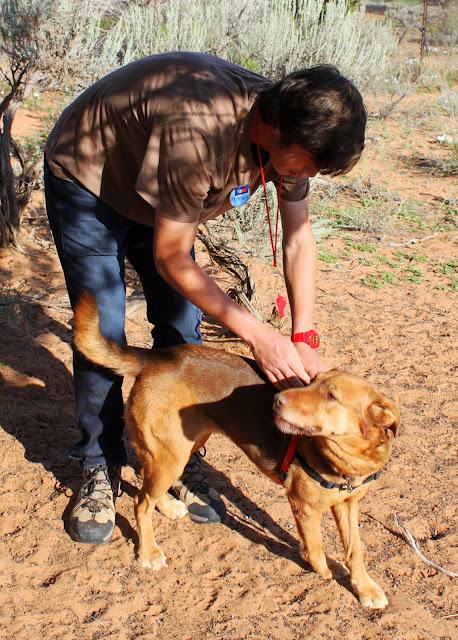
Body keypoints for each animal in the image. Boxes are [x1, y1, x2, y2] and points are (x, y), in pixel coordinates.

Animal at [73, 292, 398, 608]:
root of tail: (153, 358)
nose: (278, 401)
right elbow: (315, 547)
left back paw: (167, 506)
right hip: (172, 454)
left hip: (178, 447)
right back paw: (149, 552)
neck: (348, 463)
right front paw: (325, 568)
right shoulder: (304, 506)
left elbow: (356, 549)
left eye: (330, 396)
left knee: (144, 480)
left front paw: (365, 588)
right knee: (141, 502)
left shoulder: (348, 504)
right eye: (311, 384)